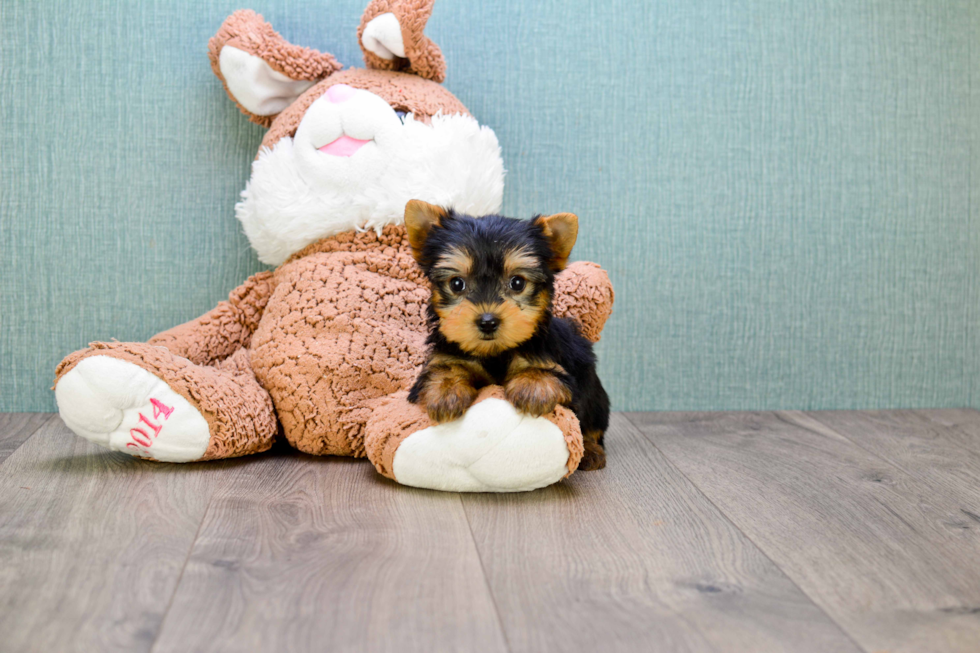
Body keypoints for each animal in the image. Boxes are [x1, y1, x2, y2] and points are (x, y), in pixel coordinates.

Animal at [402, 199, 608, 468]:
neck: (494, 352)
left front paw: (533, 387)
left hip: (593, 389)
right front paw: (446, 391)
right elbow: (444, 369)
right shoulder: (446, 355)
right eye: (457, 283)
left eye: (517, 283)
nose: (488, 322)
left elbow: (546, 374)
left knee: (592, 422)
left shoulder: (557, 366)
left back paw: (592, 451)